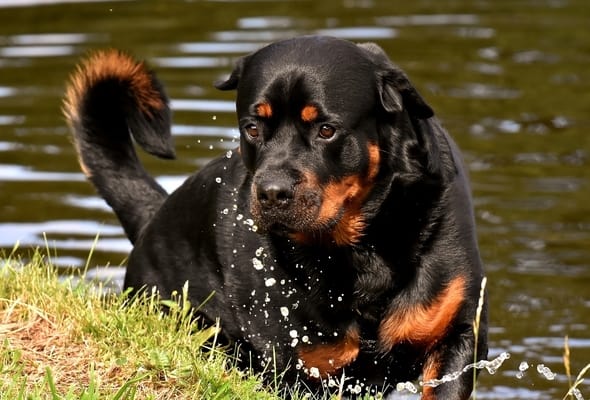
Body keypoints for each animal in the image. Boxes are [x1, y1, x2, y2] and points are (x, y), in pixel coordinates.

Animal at [65, 36, 490, 398]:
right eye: (252, 128)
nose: (271, 192)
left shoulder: (457, 337)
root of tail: (155, 216)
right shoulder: (295, 364)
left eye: (326, 129)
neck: (361, 251)